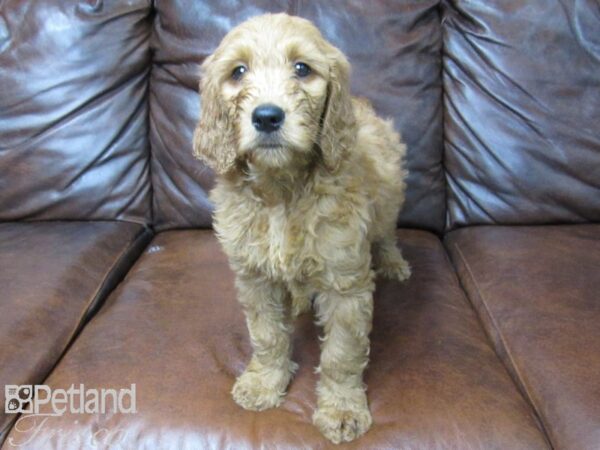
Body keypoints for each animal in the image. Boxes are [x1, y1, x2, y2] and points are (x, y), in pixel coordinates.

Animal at [195, 13, 410, 442]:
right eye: (238, 71)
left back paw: (393, 262)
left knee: (386, 230)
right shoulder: (254, 276)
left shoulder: (346, 283)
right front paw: (264, 382)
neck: (282, 189)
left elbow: (342, 354)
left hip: (391, 189)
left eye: (302, 68)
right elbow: (266, 335)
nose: (266, 116)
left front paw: (341, 409)